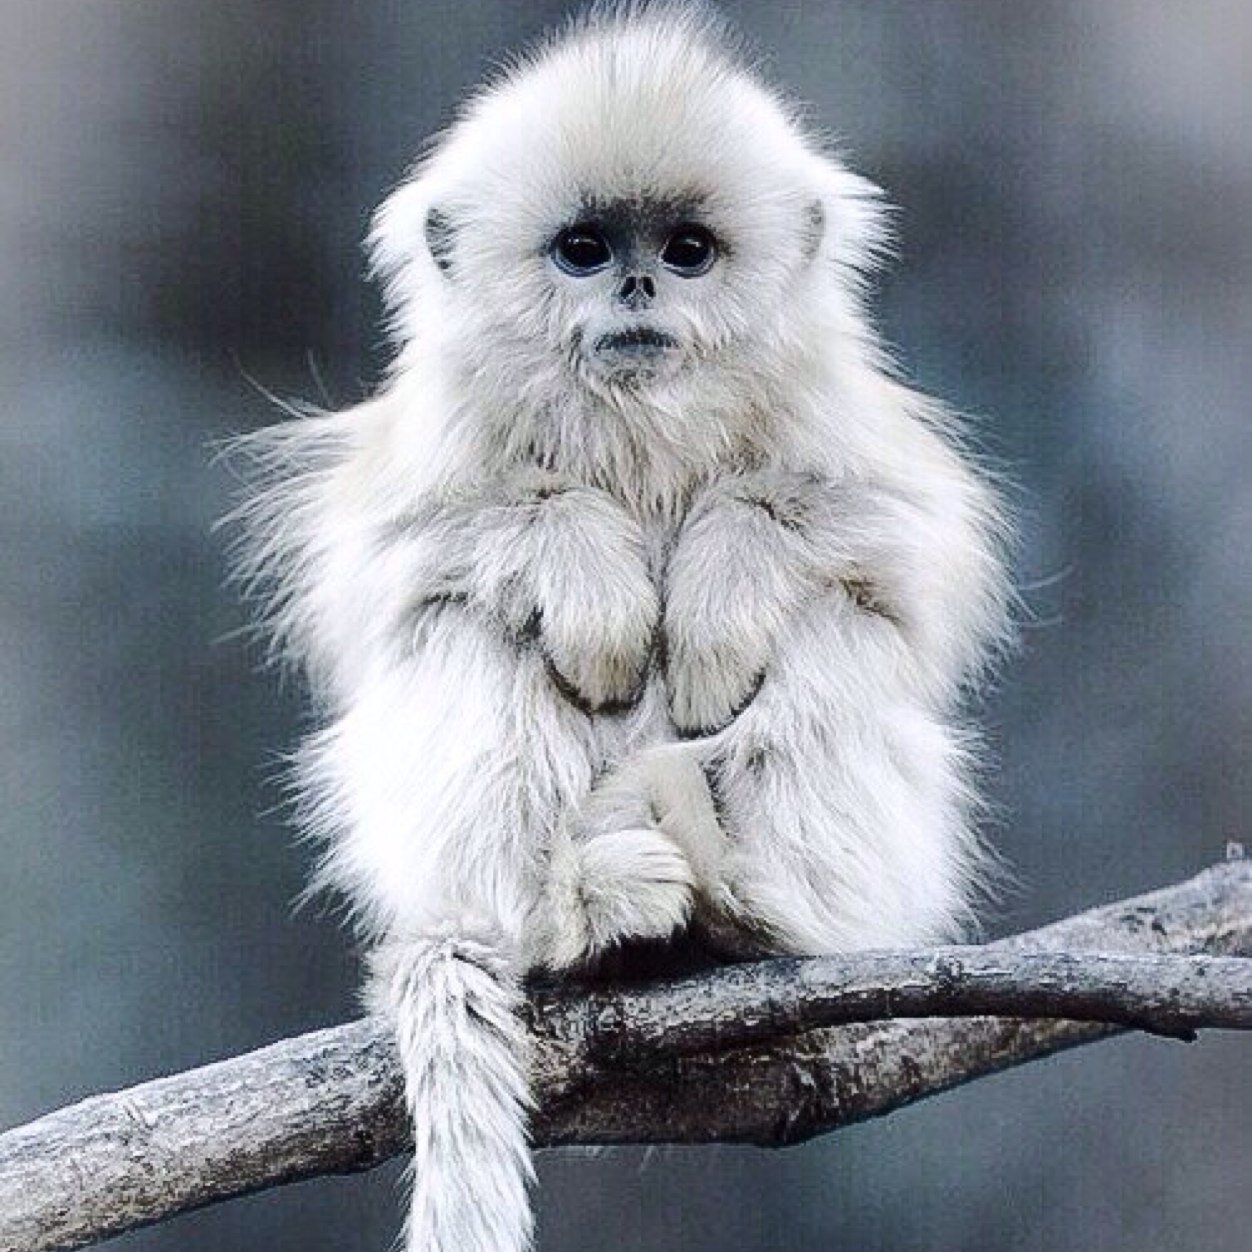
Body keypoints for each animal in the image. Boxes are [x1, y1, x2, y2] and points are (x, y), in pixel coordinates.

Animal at [229, 5, 1012, 1250]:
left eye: (687, 250)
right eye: (585, 250)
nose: (640, 286)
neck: (642, 423)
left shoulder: (845, 423)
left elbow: (900, 548)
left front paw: (713, 599)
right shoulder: (433, 445)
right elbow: (399, 560)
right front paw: (594, 584)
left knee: (837, 625)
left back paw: (752, 906)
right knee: (466, 629)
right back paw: (577, 919)